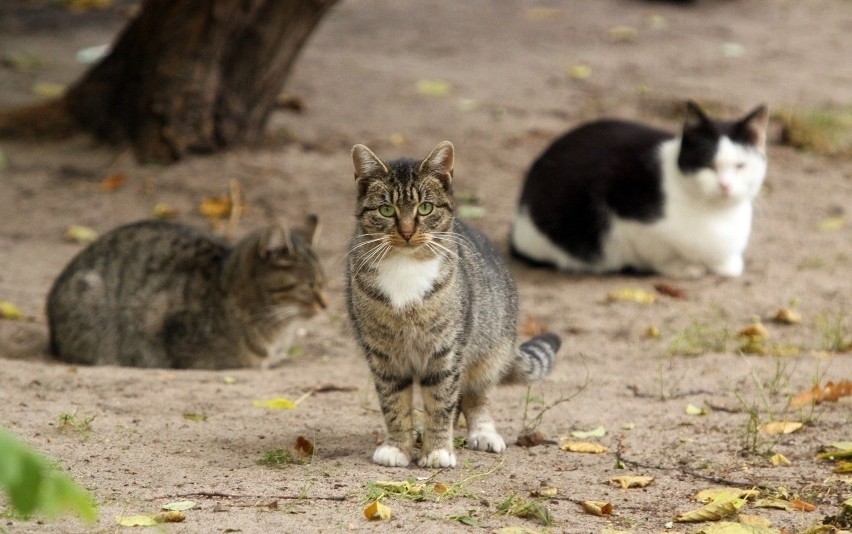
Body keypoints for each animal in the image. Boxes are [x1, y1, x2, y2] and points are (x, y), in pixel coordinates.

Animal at [344, 141, 560, 468]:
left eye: (425, 208)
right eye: (386, 210)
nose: (406, 232)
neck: (406, 268)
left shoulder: (446, 351)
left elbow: (441, 403)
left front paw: (437, 450)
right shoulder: (384, 356)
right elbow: (393, 403)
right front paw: (398, 447)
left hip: (487, 352)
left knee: (475, 397)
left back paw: (483, 432)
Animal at [510, 99, 768, 280]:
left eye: (740, 166)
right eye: (708, 165)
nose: (725, 185)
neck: (716, 213)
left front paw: (725, 265)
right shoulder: (627, 219)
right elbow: (660, 253)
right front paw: (682, 267)